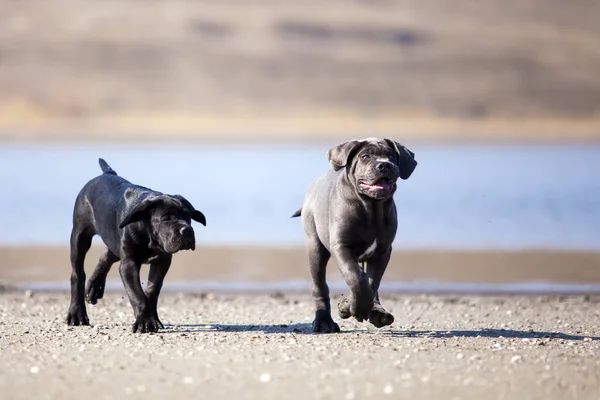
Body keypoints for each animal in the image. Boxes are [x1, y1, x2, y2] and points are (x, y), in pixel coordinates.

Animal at [66, 158, 206, 332]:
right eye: (166, 218)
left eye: (188, 216)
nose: (186, 230)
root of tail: (107, 173)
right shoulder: (129, 263)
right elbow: (137, 293)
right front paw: (145, 322)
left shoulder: (162, 261)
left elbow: (152, 289)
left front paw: (153, 319)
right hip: (80, 236)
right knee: (77, 274)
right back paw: (77, 314)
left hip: (113, 241)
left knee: (106, 256)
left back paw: (94, 288)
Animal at [292, 139, 418, 332]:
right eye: (365, 156)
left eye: (391, 156)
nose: (384, 165)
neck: (371, 208)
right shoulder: (341, 246)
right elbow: (355, 276)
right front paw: (353, 306)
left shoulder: (383, 251)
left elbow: (372, 282)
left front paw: (352, 305)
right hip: (315, 246)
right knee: (320, 285)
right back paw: (323, 322)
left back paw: (378, 313)